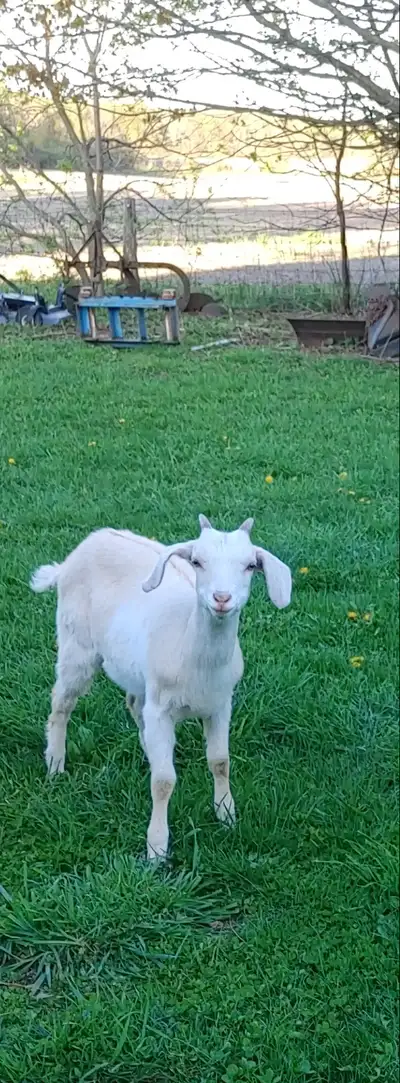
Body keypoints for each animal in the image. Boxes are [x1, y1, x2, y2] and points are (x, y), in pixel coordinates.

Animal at [30, 516, 292, 859]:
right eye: (197, 562)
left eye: (250, 565)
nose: (222, 599)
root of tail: (79, 551)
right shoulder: (161, 709)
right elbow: (164, 782)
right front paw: (156, 848)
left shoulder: (221, 705)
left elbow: (220, 762)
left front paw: (226, 815)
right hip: (77, 646)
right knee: (61, 703)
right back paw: (55, 764)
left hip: (137, 675)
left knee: (132, 703)